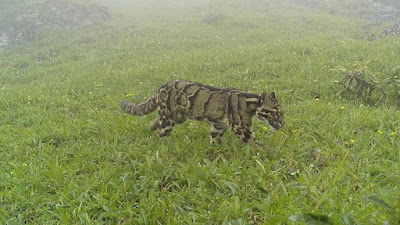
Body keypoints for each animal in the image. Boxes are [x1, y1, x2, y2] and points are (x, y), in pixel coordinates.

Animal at [119, 81, 284, 146]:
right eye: (275, 112)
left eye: (282, 112)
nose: (283, 123)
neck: (251, 103)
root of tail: (161, 87)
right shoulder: (241, 128)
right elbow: (254, 144)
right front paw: (267, 153)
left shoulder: (218, 125)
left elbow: (215, 138)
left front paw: (216, 149)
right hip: (169, 119)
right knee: (162, 133)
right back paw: (164, 146)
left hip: (177, 117)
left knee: (156, 118)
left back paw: (151, 127)